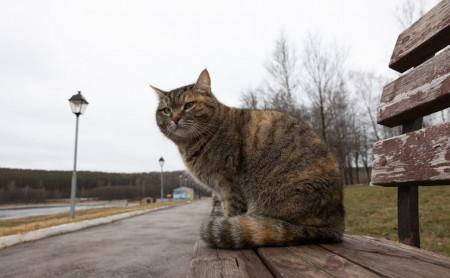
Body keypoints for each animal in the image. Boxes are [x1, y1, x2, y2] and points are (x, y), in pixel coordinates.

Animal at [153, 69, 346, 248]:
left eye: (189, 105)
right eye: (166, 110)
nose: (175, 118)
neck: (191, 145)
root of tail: (338, 225)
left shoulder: (230, 186)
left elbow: (232, 212)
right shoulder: (220, 191)